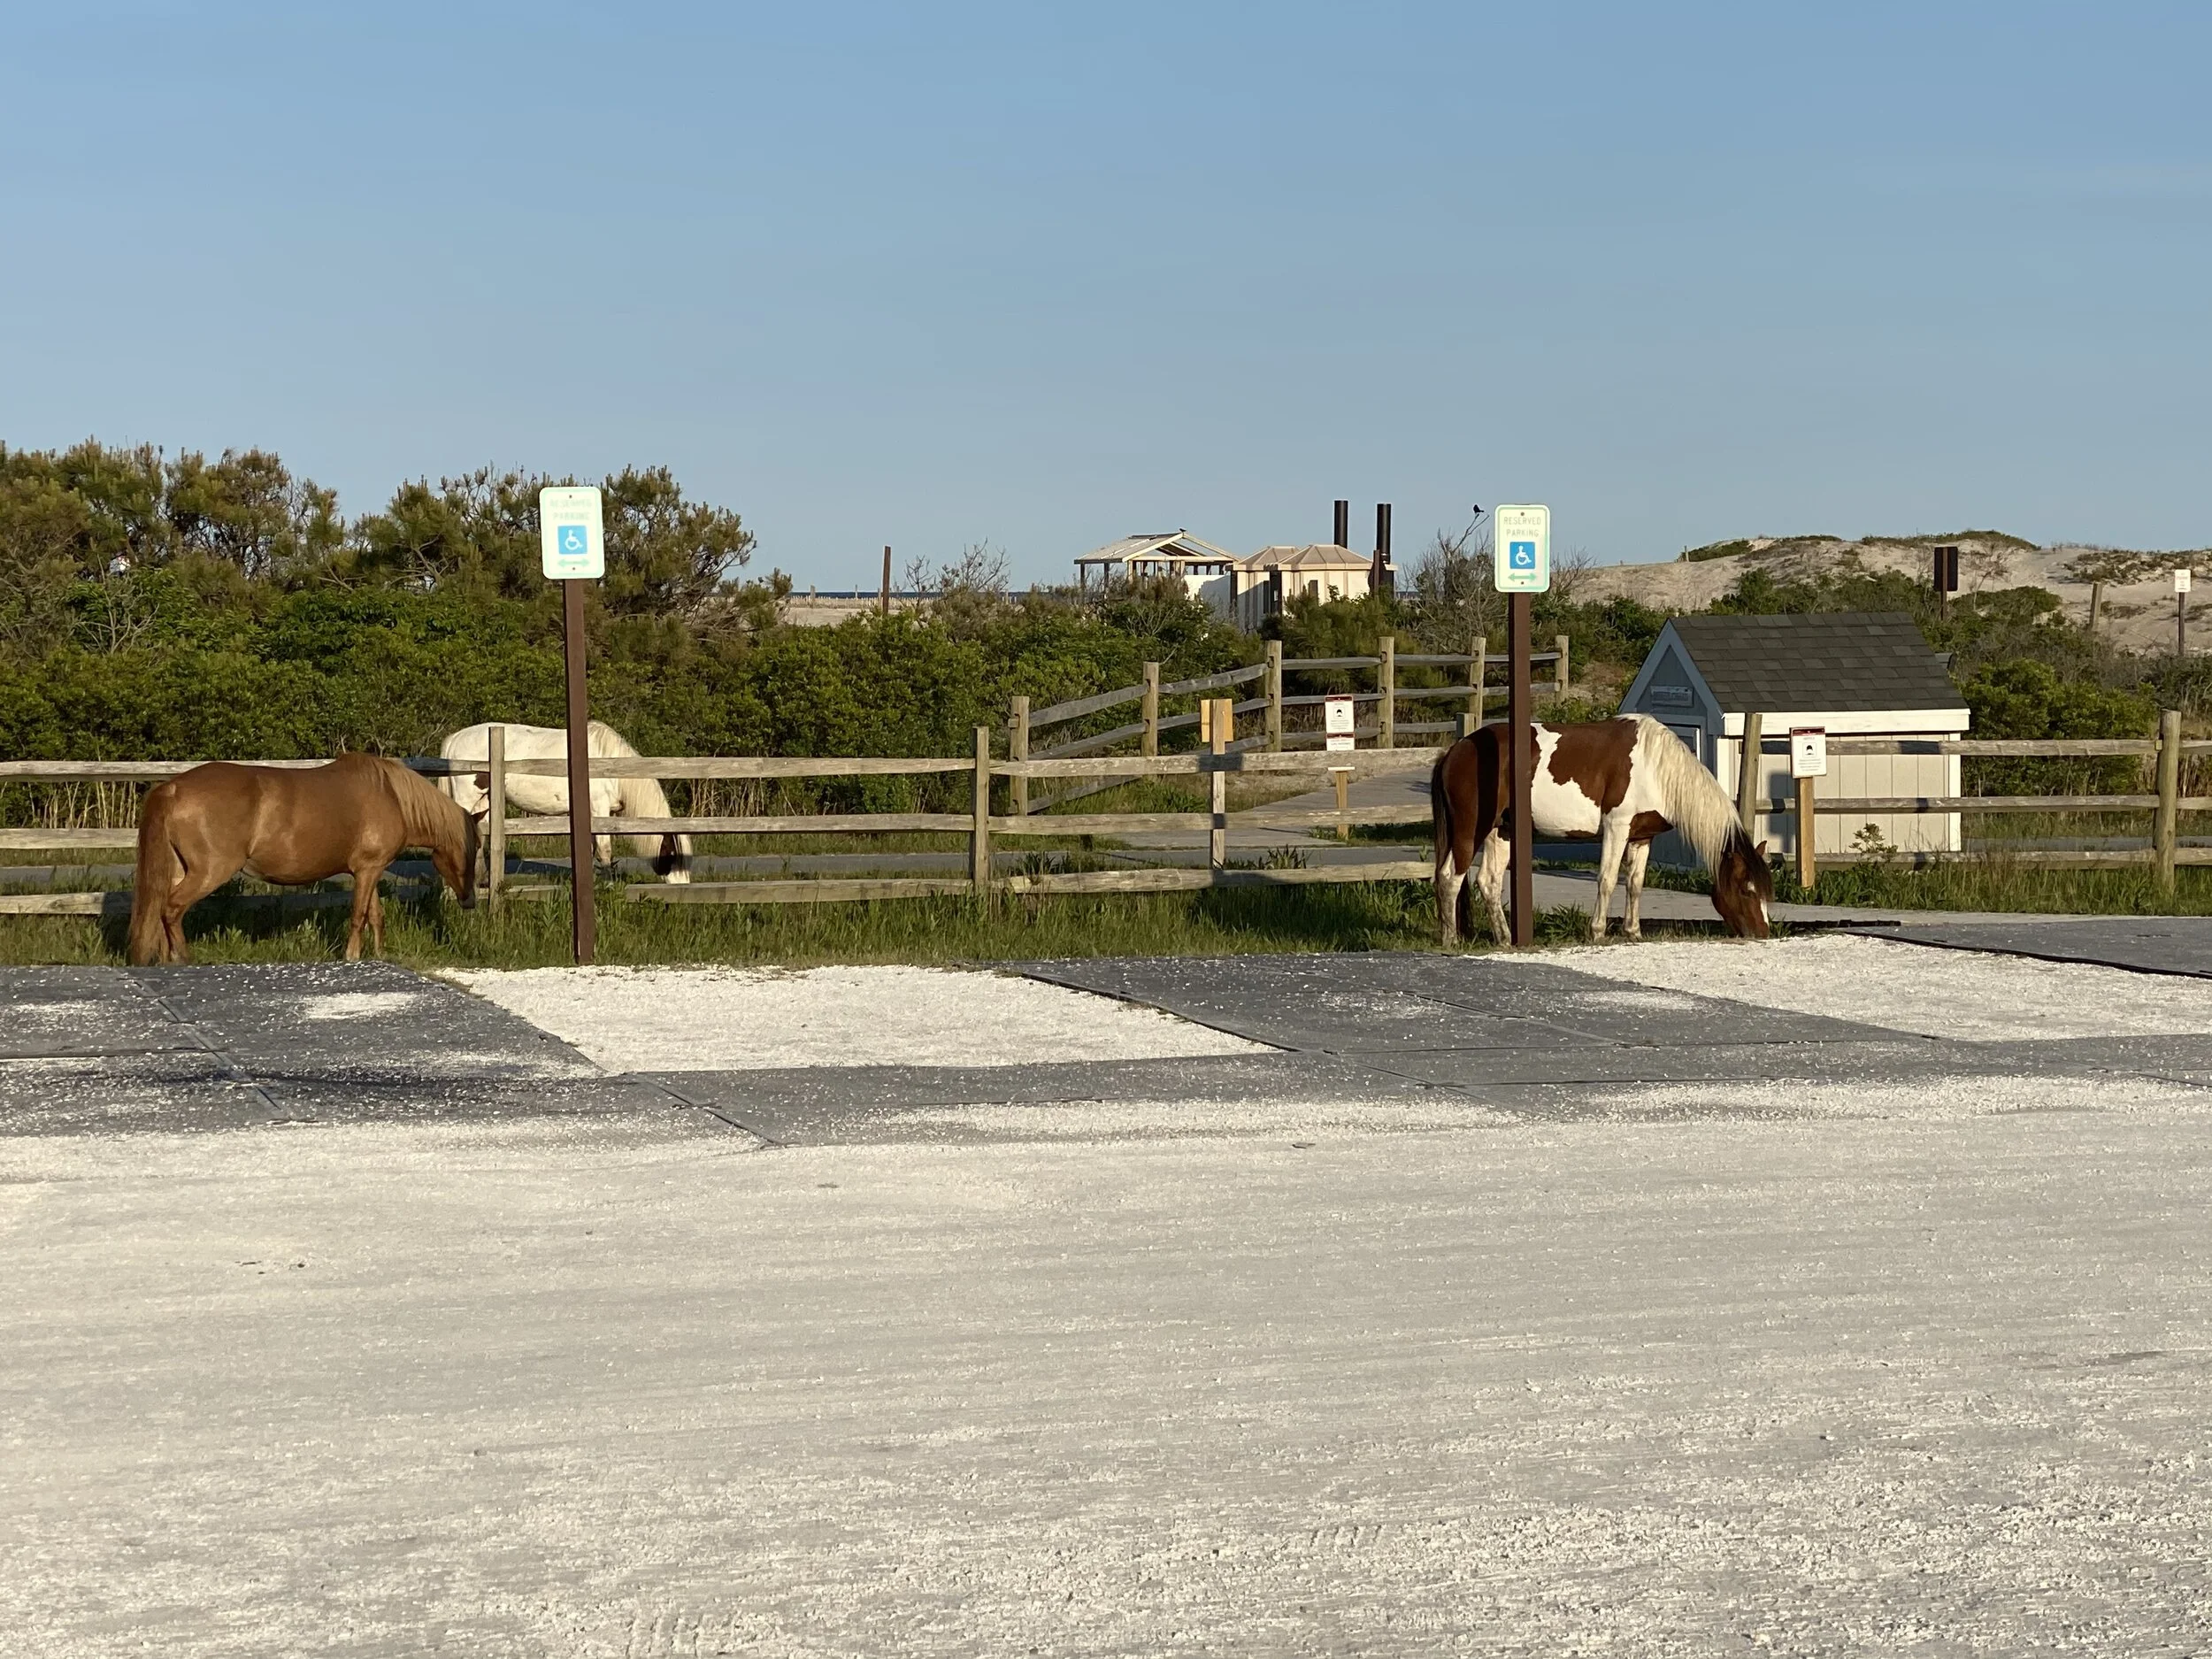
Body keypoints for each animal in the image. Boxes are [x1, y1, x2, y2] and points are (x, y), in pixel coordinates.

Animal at [127, 752, 478, 965]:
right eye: (473, 847)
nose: (470, 900)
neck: (390, 794)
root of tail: (173, 788)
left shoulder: (370, 870)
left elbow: (374, 916)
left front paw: (379, 956)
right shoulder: (368, 870)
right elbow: (358, 916)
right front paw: (352, 957)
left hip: (178, 869)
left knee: (162, 912)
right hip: (209, 871)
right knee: (172, 909)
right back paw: (185, 959)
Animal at [437, 721, 692, 883]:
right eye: (672, 855)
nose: (683, 890)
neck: (610, 766)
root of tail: (455, 738)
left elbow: (590, 849)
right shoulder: (599, 810)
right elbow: (605, 850)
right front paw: (609, 884)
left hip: (484, 801)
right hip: (467, 798)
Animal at [1432, 713, 1772, 945]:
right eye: (1747, 889)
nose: (1763, 933)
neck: (1654, 767)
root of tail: (1456, 750)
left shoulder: (1641, 837)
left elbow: (1635, 884)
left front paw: (1633, 932)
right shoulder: (1616, 828)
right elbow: (1607, 880)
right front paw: (1597, 932)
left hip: (1501, 831)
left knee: (1488, 882)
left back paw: (1504, 939)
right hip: (1470, 829)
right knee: (1450, 877)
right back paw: (1451, 939)